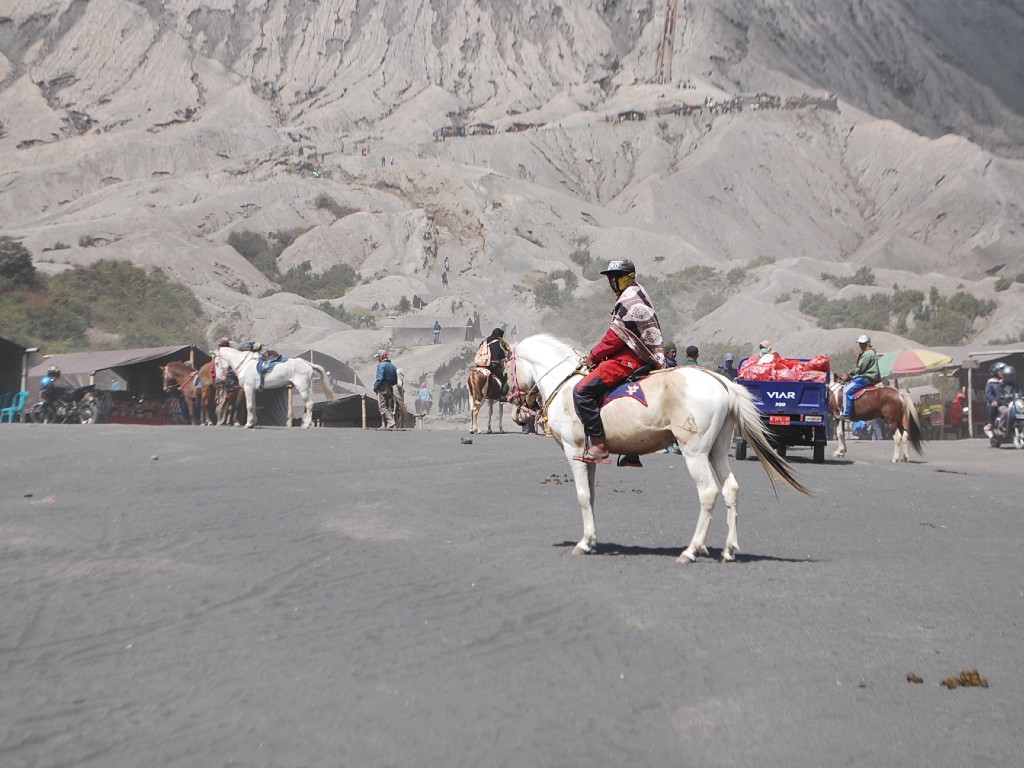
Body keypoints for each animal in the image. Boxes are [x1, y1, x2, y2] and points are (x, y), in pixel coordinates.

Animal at [503, 333, 806, 561]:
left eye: (506, 369)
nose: (517, 409)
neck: (566, 387)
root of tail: (723, 383)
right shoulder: (589, 457)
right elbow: (591, 495)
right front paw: (592, 540)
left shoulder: (574, 451)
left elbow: (582, 496)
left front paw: (584, 543)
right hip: (717, 450)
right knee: (730, 489)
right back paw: (728, 550)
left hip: (695, 452)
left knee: (708, 492)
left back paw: (691, 550)